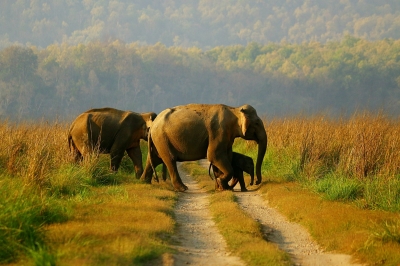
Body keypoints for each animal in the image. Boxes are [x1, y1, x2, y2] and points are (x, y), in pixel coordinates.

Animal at [139, 103, 268, 192]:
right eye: (257, 123)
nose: (256, 182)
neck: (234, 110)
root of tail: (153, 125)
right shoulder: (218, 132)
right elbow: (214, 155)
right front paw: (222, 184)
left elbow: (224, 157)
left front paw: (222, 187)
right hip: (162, 139)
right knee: (169, 160)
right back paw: (183, 188)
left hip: (159, 140)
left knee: (154, 159)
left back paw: (144, 182)